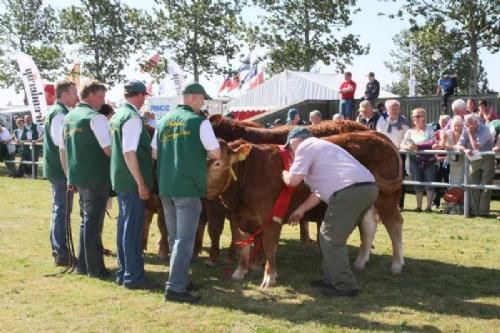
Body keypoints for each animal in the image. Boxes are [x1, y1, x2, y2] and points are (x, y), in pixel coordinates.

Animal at [205, 131, 404, 286]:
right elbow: (244, 245)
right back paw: (361, 262)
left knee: (394, 224)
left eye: (217, 163)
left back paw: (396, 264)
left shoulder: (272, 218)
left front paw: (269, 277)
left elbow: (269, 246)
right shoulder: (241, 218)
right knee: (369, 225)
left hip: (386, 198)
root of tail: (376, 135)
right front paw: (240, 271)